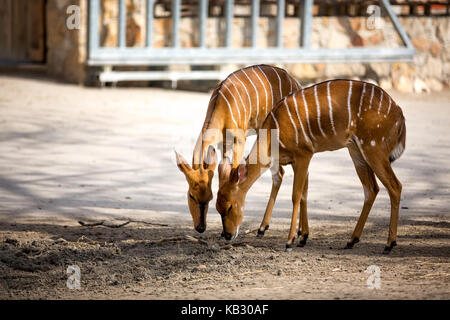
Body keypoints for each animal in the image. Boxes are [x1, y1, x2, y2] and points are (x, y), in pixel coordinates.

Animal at [176, 65, 302, 234]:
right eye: (191, 195)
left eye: (209, 197)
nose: (201, 227)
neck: (222, 104)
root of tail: (296, 83)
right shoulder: (224, 144)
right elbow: (223, 171)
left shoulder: (239, 140)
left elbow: (235, 172)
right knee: (280, 173)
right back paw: (263, 228)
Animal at [216, 79, 406, 254]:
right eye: (217, 208)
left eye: (230, 206)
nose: (228, 235)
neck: (273, 133)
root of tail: (398, 111)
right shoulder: (296, 160)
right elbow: (304, 195)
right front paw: (303, 238)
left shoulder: (304, 155)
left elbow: (296, 195)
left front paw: (290, 241)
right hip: (356, 151)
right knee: (371, 189)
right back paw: (352, 240)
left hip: (374, 148)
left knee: (395, 186)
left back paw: (389, 244)